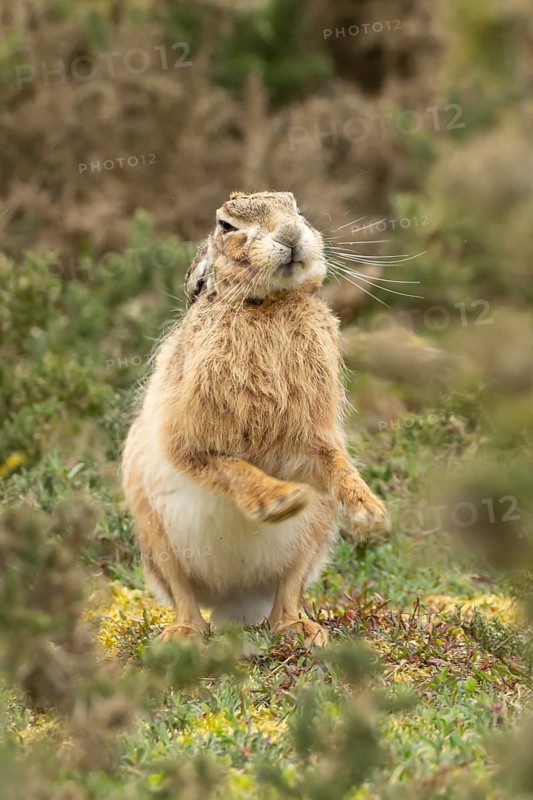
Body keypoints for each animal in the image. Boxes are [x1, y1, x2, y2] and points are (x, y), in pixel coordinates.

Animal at [122, 191, 389, 646]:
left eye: (297, 210)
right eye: (227, 226)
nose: (291, 234)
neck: (269, 306)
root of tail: (235, 599)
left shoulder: (310, 440)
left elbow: (335, 463)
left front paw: (370, 514)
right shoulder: (187, 441)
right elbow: (229, 467)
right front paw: (279, 500)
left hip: (314, 535)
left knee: (288, 591)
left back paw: (301, 629)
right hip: (153, 532)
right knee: (183, 594)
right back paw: (182, 635)